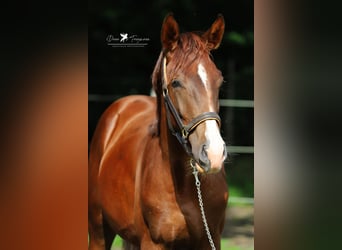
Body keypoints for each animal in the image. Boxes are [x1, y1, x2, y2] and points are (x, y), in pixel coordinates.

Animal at [88, 13, 228, 250]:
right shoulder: (153, 243)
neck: (187, 188)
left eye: (219, 81)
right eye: (176, 83)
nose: (214, 154)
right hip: (99, 231)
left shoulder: (212, 240)